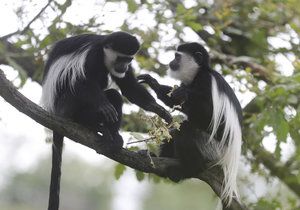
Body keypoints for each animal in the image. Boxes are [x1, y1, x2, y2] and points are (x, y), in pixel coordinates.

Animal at [41, 31, 171, 210]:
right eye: (120, 58)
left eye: (129, 59)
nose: (123, 67)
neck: (103, 51)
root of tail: (55, 111)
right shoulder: (92, 56)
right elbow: (81, 80)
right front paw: (103, 104)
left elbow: (129, 88)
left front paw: (160, 110)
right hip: (66, 106)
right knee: (77, 86)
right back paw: (93, 124)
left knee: (114, 95)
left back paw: (111, 136)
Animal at [137, 42, 243, 205]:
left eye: (177, 57)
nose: (171, 62)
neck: (198, 74)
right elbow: (174, 101)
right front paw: (152, 82)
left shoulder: (206, 82)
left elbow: (212, 118)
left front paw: (185, 93)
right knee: (175, 132)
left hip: (212, 148)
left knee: (186, 129)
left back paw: (188, 170)